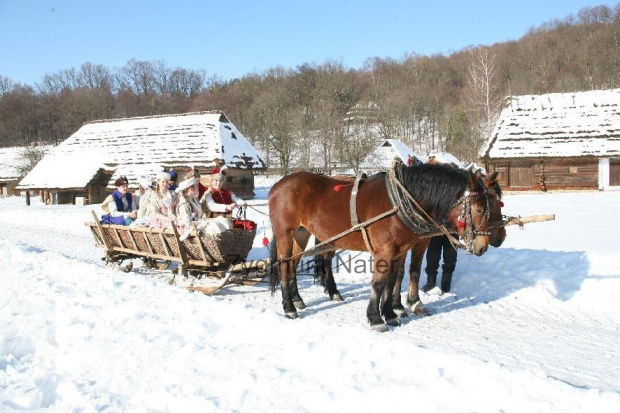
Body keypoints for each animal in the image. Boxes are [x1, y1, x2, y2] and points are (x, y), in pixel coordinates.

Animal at [268, 163, 492, 330]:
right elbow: (378, 283)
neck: (399, 203)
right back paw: (289, 307)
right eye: (479, 209)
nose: (483, 246)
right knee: (284, 265)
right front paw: (376, 318)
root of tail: (279, 185)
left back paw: (298, 299)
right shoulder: (384, 251)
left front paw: (391, 314)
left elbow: (392, 281)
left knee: (293, 265)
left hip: (301, 233)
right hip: (285, 233)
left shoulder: (400, 251)